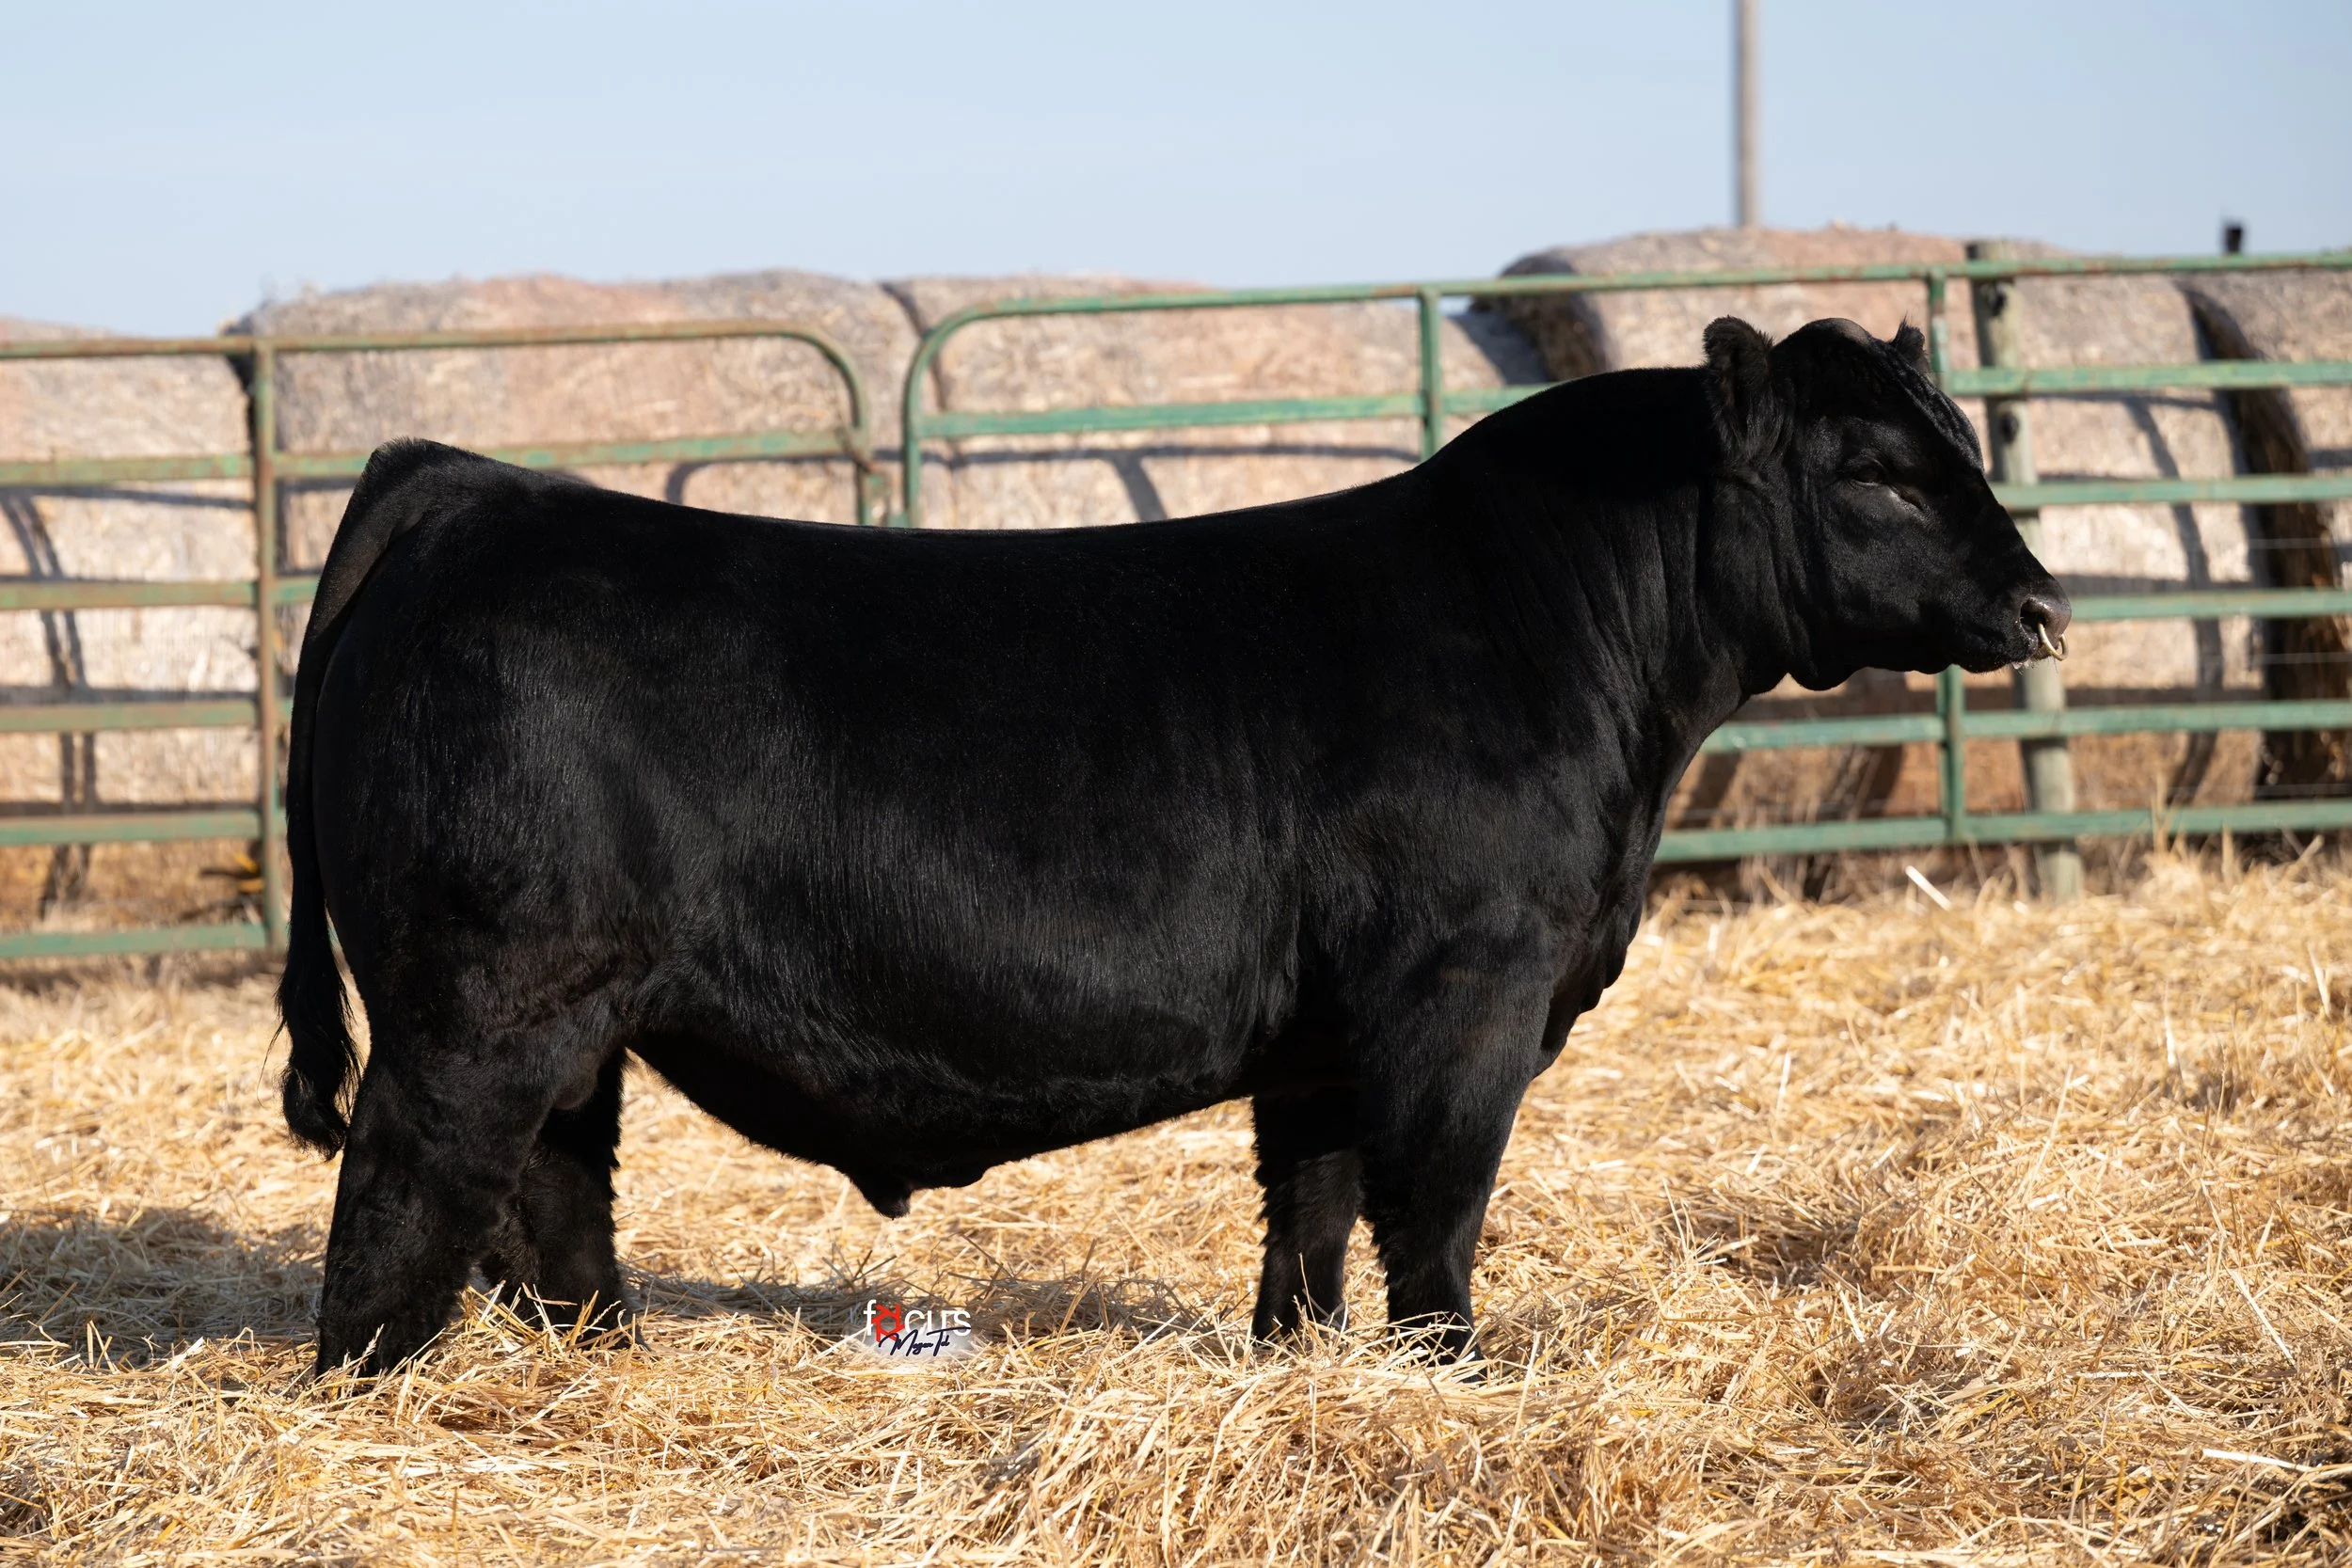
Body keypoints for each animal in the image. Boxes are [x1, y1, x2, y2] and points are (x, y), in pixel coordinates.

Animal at [277, 316, 2067, 1375]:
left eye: (1957, 443)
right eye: (1874, 471)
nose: (2044, 601)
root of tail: (469, 486)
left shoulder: (1329, 1032)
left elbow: (1314, 1208)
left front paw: (1306, 1363)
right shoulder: (1466, 995)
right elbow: (1438, 1205)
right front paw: (1458, 1369)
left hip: (575, 1017)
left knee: (556, 1194)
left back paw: (599, 1361)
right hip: (474, 1005)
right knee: (400, 1199)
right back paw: (385, 1386)